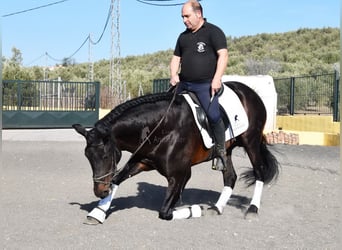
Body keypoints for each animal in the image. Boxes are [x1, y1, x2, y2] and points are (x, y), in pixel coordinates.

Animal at [73, 81, 280, 223]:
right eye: (87, 157)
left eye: (106, 155)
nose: (100, 191)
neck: (160, 127)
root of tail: (249, 91)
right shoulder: (141, 162)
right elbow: (116, 179)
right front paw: (98, 212)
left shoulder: (181, 175)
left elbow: (164, 212)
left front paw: (195, 210)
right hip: (226, 150)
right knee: (230, 177)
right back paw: (217, 207)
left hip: (251, 142)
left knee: (259, 172)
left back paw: (252, 209)